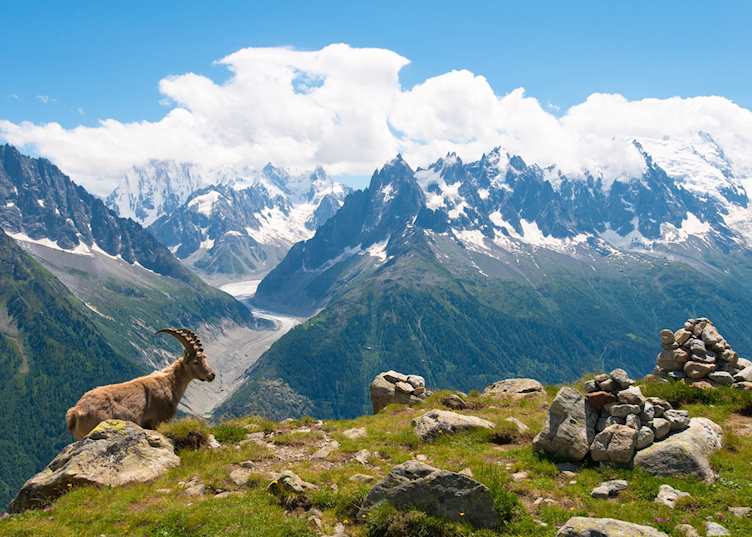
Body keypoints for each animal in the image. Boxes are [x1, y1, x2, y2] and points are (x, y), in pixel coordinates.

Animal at [65, 328, 215, 440]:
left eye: (205, 358)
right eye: (195, 361)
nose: (212, 375)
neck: (170, 383)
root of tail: (75, 412)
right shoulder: (156, 421)